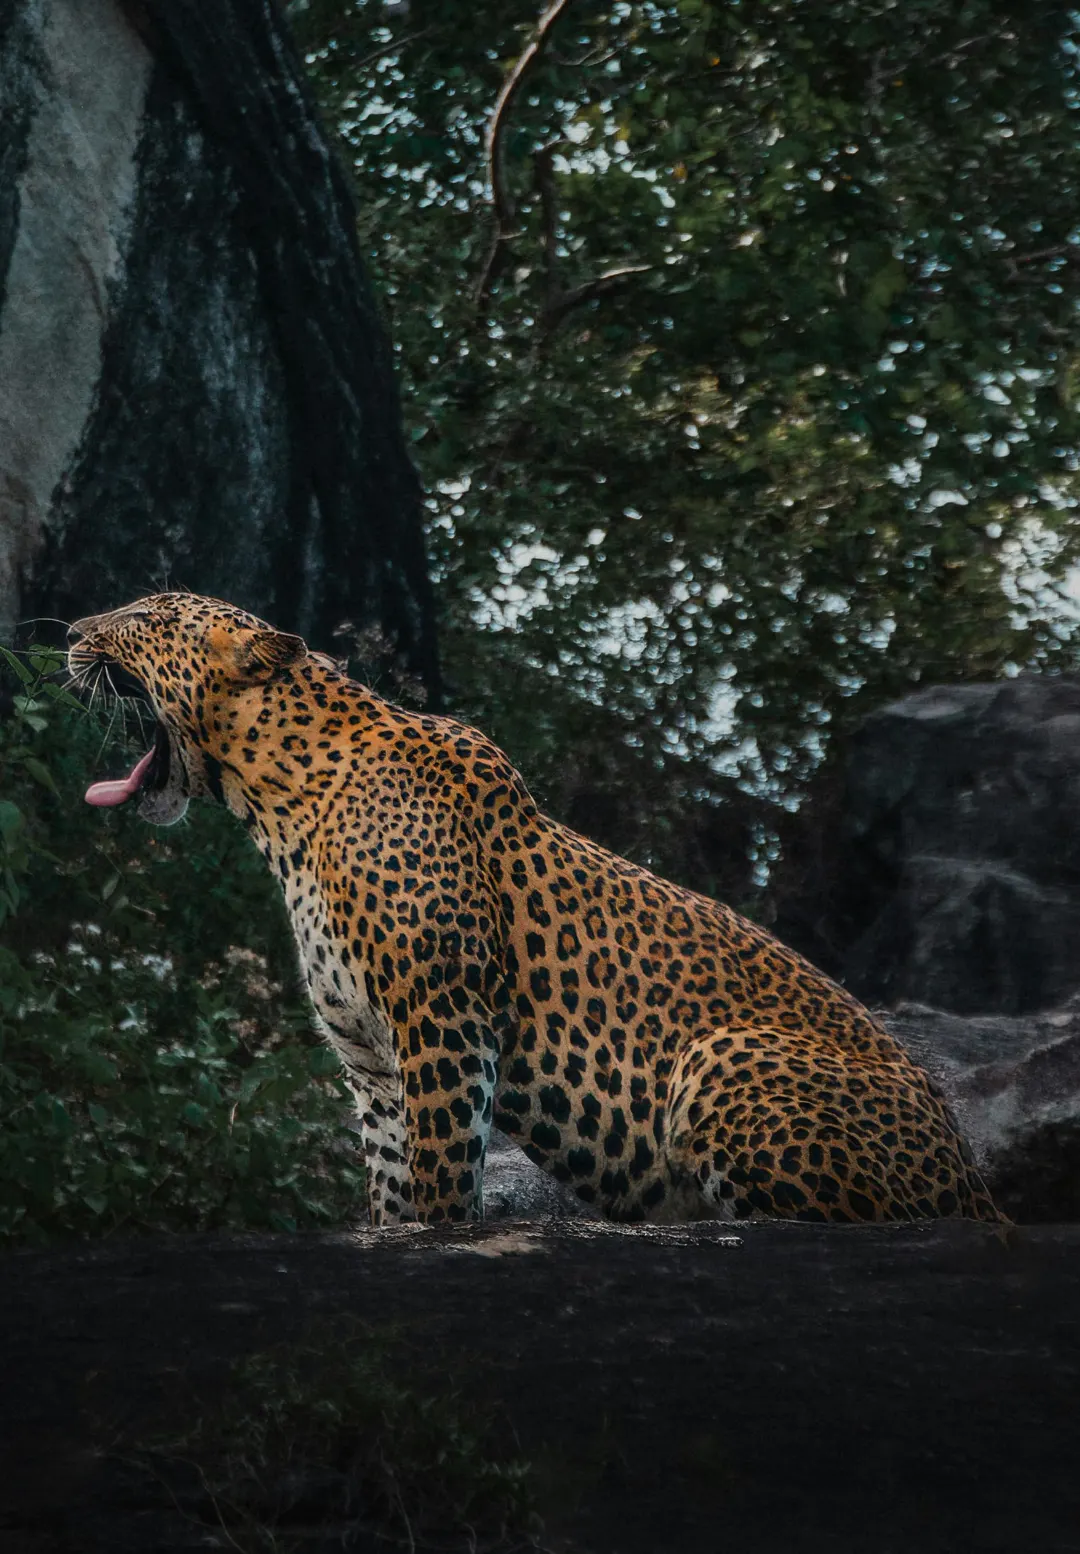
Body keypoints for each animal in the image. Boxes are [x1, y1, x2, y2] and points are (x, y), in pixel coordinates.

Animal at [67, 592, 1003, 1227]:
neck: (281, 807)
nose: (71, 633)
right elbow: (391, 1183)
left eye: (145, 617)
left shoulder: (442, 1017)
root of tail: (974, 1181)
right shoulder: (370, 1059)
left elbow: (443, 1172)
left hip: (721, 1057)